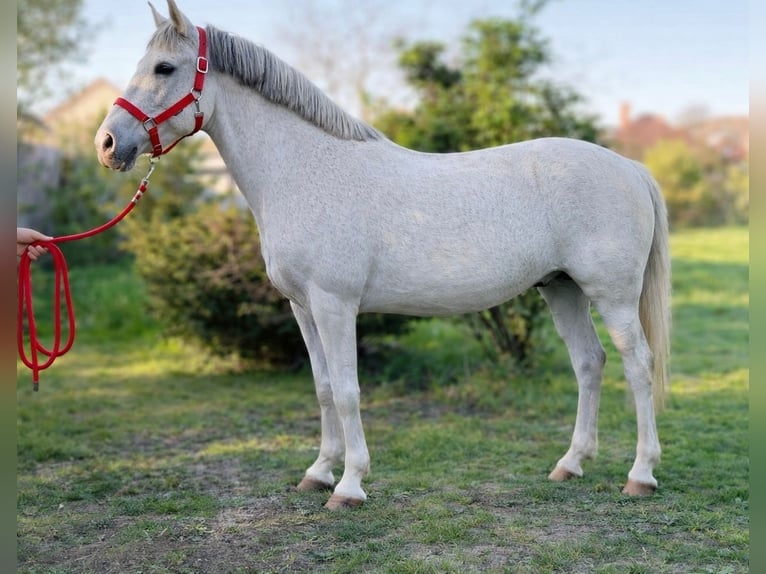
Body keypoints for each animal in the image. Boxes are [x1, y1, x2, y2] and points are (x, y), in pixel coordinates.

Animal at [95, 0, 671, 510]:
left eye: (164, 67)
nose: (107, 144)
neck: (304, 170)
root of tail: (629, 167)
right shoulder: (302, 308)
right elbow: (325, 388)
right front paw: (318, 473)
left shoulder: (334, 304)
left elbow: (349, 391)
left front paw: (349, 486)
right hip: (562, 289)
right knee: (589, 363)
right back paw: (570, 464)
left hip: (612, 295)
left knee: (637, 364)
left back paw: (640, 475)